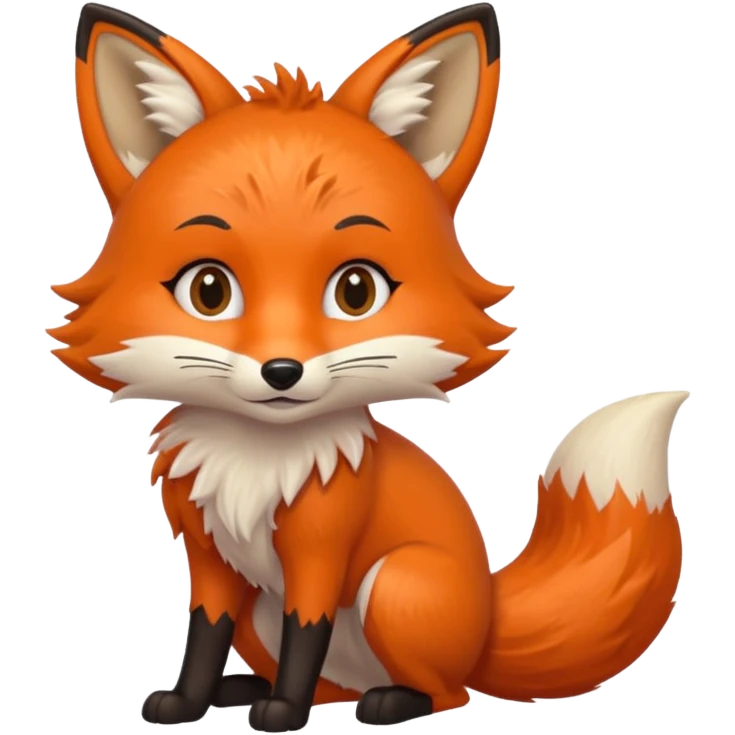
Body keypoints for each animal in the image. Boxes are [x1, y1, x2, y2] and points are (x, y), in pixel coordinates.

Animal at [53, 1, 687, 731]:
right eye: (209, 290)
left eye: (355, 290)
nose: (281, 371)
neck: (256, 464)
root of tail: (487, 622)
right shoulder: (211, 557)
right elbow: (205, 635)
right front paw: (188, 701)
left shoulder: (320, 550)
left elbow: (307, 630)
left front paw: (283, 711)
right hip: (265, 608)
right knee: (334, 683)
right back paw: (251, 688)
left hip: (397, 586)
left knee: (447, 691)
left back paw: (386, 701)